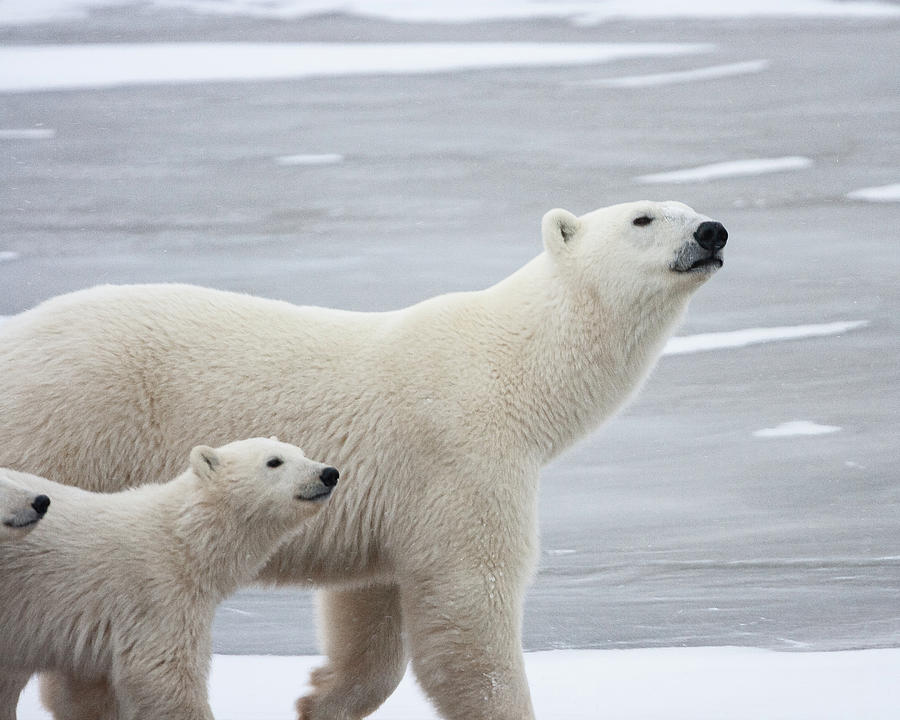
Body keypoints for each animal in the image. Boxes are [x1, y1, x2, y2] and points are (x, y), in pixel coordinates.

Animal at [0, 200, 724, 716]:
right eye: (643, 217)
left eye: (691, 207)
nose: (713, 232)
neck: (513, 368)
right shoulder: (463, 454)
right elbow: (472, 604)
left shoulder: (388, 495)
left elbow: (370, 617)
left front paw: (318, 699)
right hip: (73, 425)